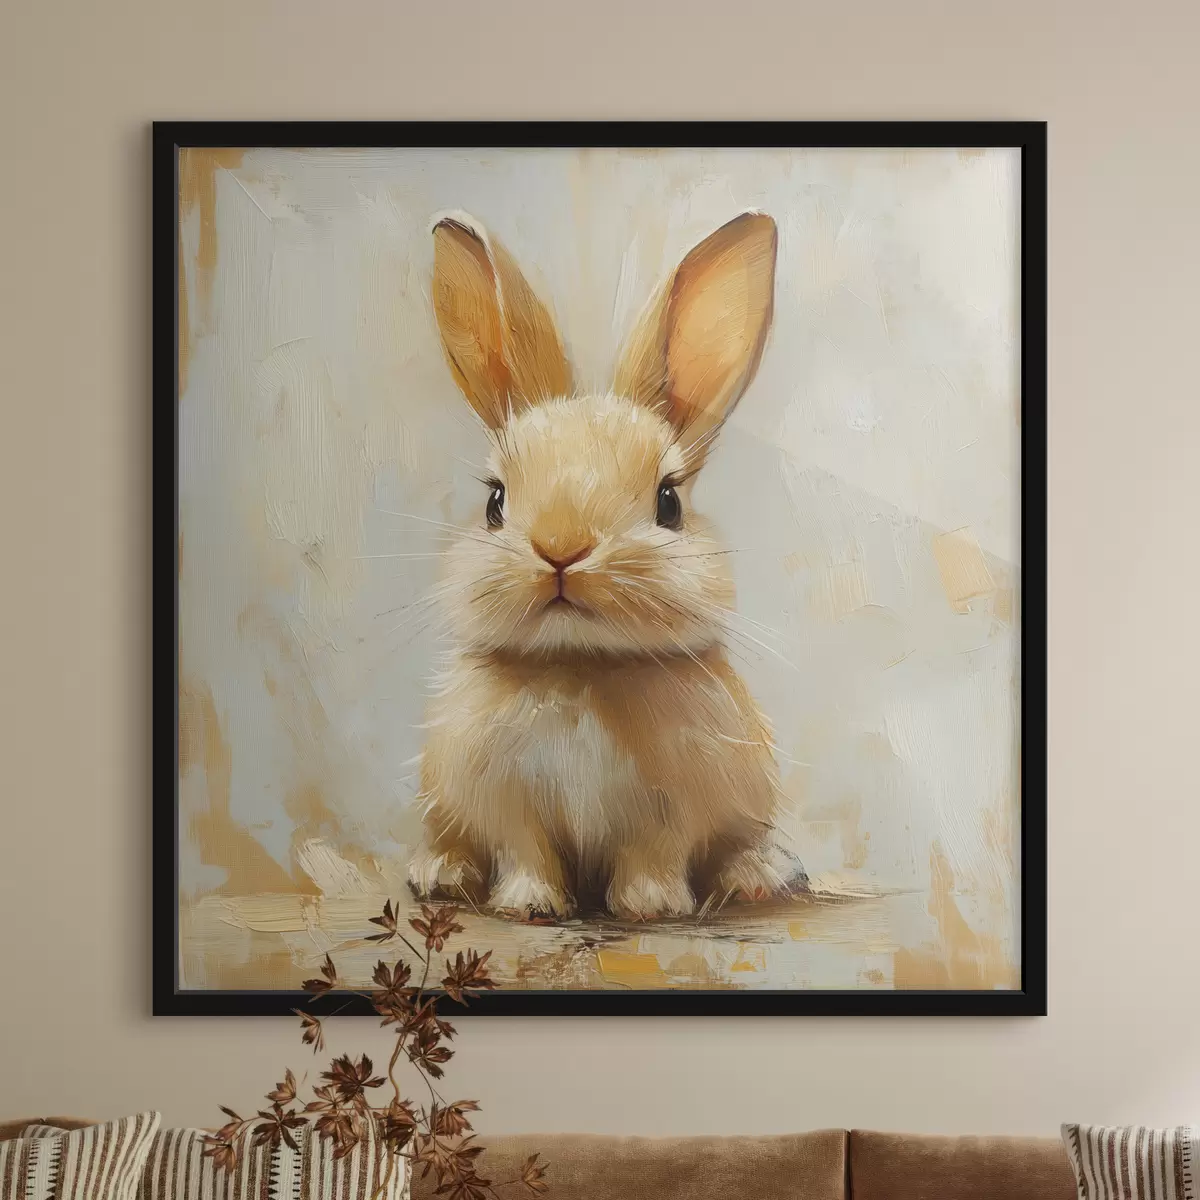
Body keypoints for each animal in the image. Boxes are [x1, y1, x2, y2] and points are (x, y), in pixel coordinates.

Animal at [406, 209, 788, 922]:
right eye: (494, 501)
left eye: (669, 502)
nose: (562, 549)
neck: (579, 664)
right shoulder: (505, 806)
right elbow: (526, 853)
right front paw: (529, 905)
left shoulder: (670, 811)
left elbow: (654, 856)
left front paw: (652, 907)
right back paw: (440, 875)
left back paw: (759, 877)